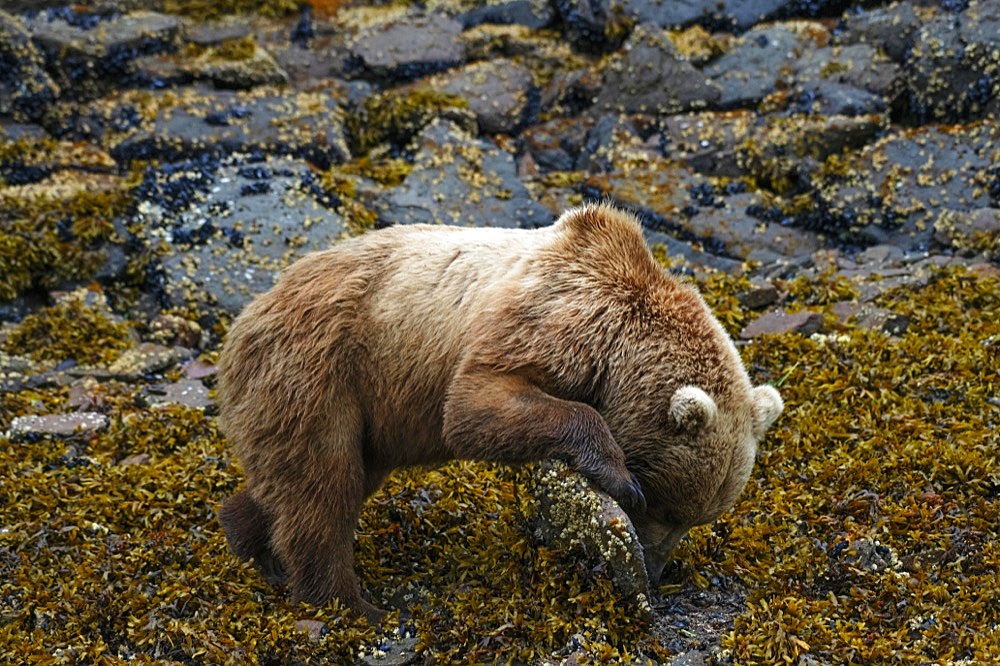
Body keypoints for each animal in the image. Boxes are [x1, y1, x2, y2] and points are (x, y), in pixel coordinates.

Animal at [217, 202, 780, 624]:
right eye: (666, 509)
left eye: (696, 518)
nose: (659, 571)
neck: (619, 346)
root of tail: (247, 315)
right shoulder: (553, 317)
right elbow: (475, 401)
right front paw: (617, 475)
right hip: (320, 370)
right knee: (323, 485)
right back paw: (351, 605)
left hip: (364, 407)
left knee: (317, 479)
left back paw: (248, 540)